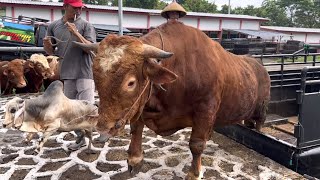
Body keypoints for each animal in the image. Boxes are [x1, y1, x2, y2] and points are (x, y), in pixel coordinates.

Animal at [75, 21, 270, 180]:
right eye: (96, 77)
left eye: (130, 82)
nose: (102, 128)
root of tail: (260, 66)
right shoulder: (139, 105)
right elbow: (136, 130)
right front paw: (134, 160)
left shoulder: (205, 110)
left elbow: (196, 145)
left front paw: (194, 173)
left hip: (261, 109)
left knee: (259, 124)